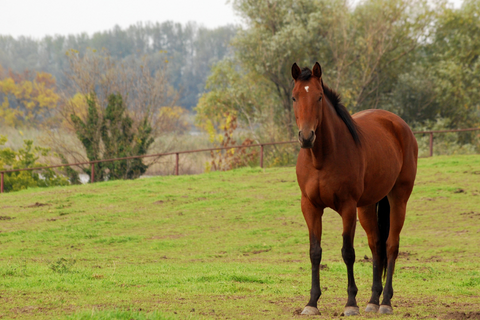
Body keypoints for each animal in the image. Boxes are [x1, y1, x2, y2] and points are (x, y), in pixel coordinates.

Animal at [290, 62, 418, 316]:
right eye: (294, 97)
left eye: (319, 97)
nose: (306, 137)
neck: (321, 158)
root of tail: (399, 125)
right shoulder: (310, 207)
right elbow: (315, 252)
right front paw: (312, 303)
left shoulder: (347, 208)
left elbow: (347, 252)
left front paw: (350, 303)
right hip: (367, 206)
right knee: (376, 245)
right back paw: (373, 300)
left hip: (398, 198)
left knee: (391, 245)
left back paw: (385, 302)